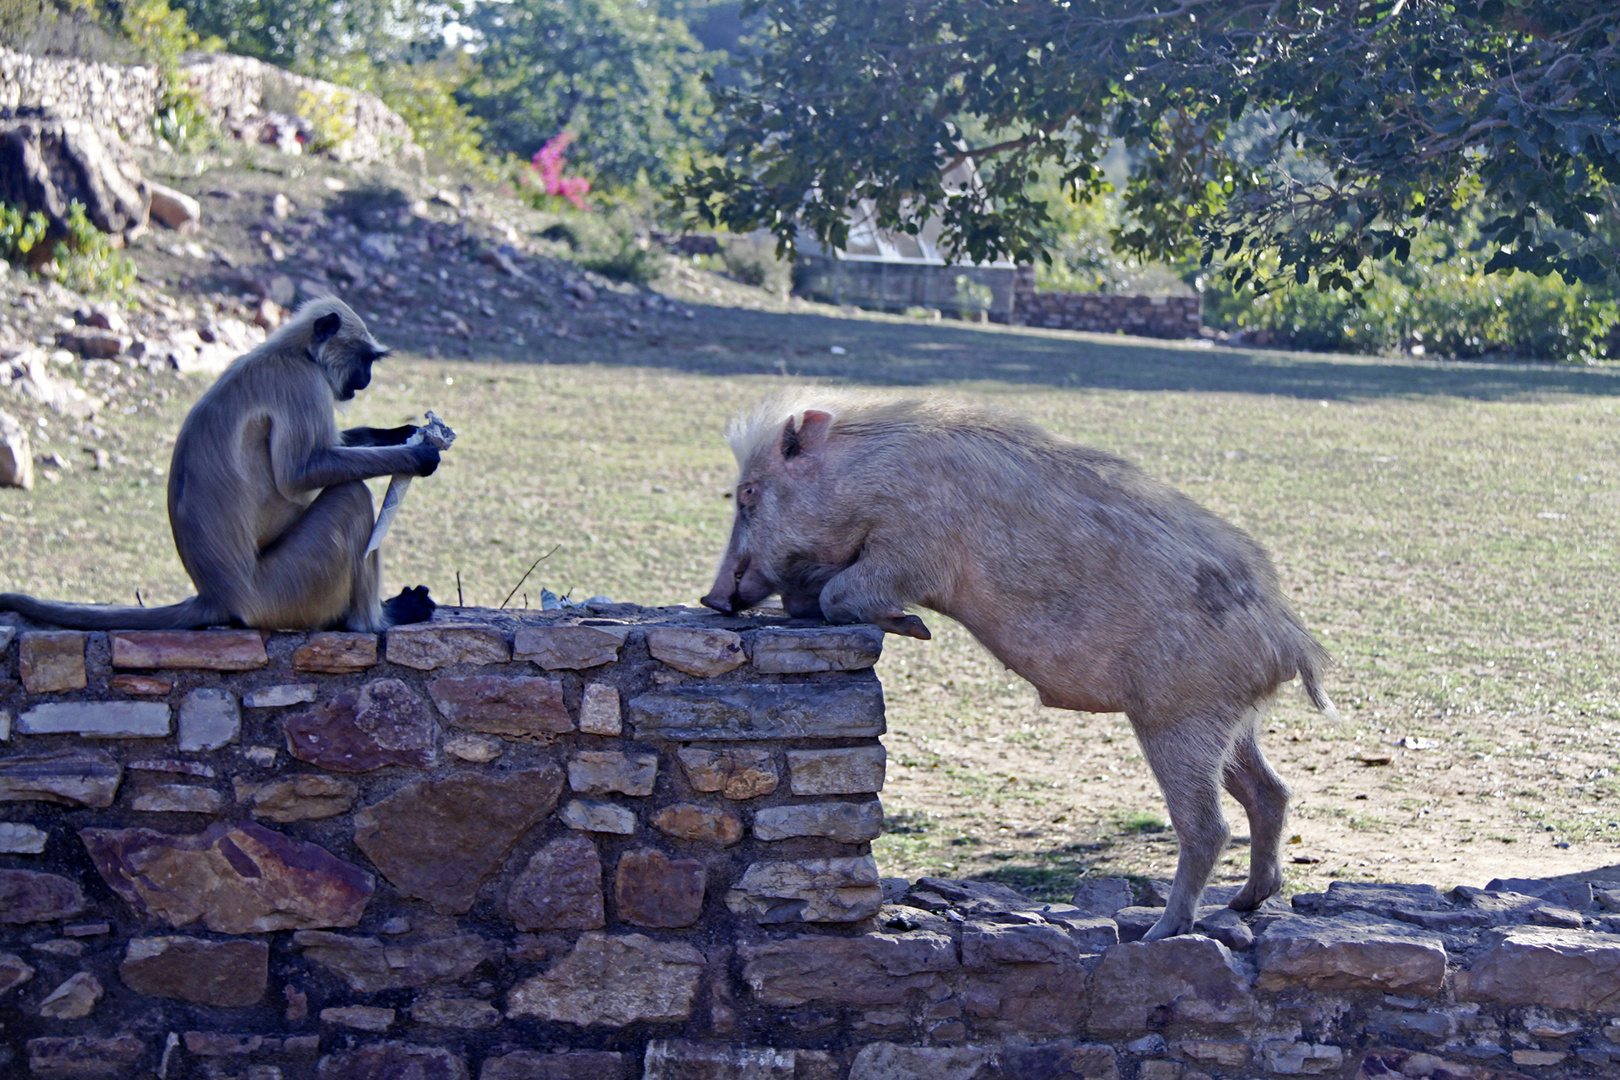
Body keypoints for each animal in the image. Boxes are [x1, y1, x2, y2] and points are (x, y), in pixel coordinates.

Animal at [0, 296, 440, 634]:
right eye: (364, 359)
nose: (365, 378)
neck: (292, 352)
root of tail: (217, 594)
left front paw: (402, 432)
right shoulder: (302, 383)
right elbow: (302, 473)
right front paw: (418, 456)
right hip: (284, 590)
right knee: (351, 496)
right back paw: (375, 621)